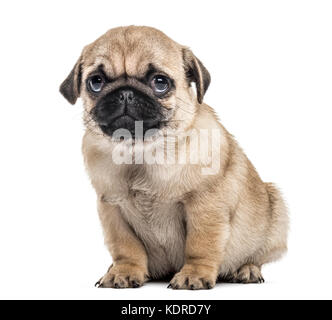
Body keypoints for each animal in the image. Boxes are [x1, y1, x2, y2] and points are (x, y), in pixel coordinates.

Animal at [59, 26, 288, 288]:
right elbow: (126, 247)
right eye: (95, 82)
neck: (141, 152)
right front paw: (124, 271)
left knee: (257, 256)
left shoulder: (205, 206)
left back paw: (246, 269)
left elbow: (200, 244)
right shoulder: (112, 210)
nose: (125, 93)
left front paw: (194, 274)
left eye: (160, 82)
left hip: (275, 214)